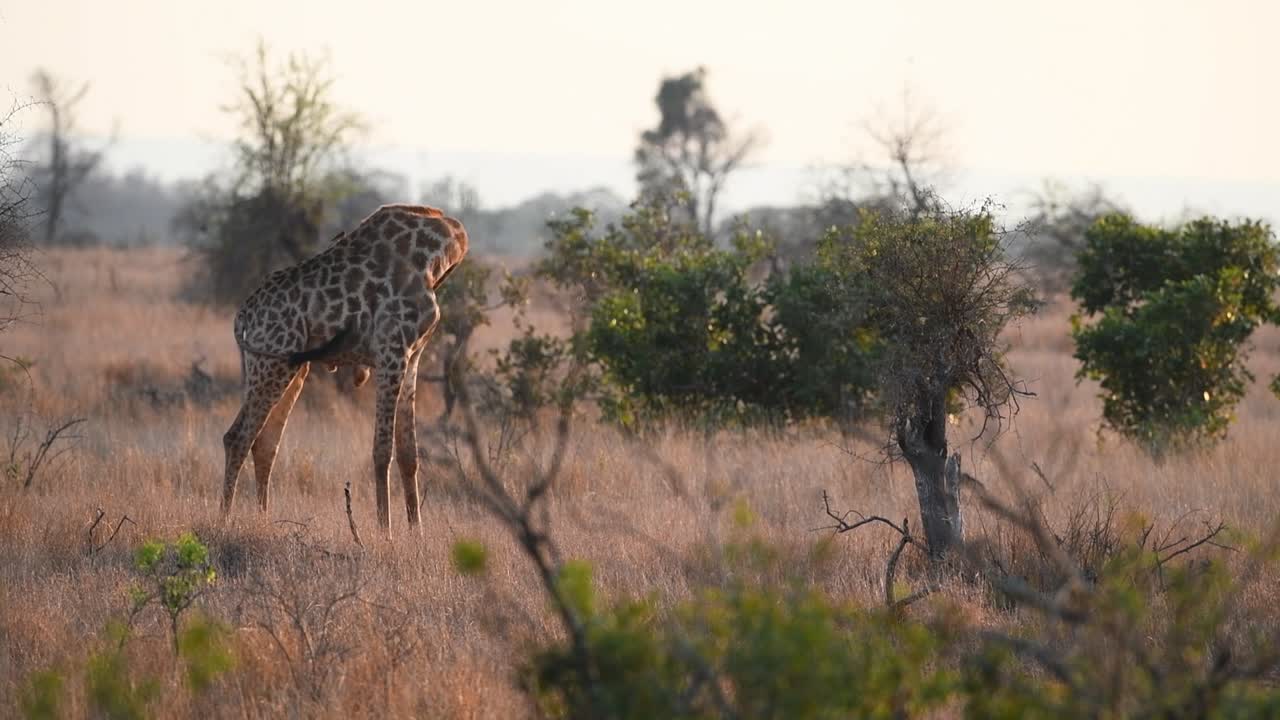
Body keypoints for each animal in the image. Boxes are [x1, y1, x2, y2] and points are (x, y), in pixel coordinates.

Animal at [221, 203, 468, 534]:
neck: (437, 253)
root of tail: (245, 314)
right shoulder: (391, 351)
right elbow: (382, 449)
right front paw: (385, 532)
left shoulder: (413, 356)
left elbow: (409, 452)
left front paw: (417, 533)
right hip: (271, 363)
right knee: (238, 437)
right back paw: (224, 521)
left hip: (286, 368)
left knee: (265, 443)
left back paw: (263, 521)